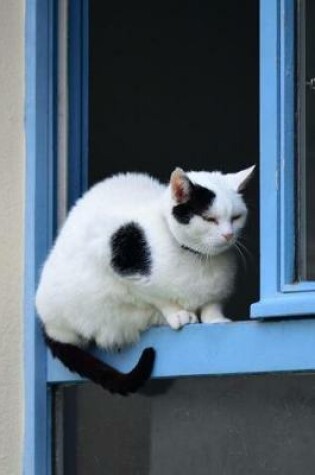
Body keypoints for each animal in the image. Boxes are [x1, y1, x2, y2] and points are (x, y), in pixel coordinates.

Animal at [35, 165, 256, 396]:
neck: (200, 259)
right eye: (209, 219)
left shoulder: (216, 293)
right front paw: (177, 313)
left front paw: (214, 319)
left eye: (236, 217)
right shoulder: (121, 263)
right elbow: (158, 298)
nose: (228, 235)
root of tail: (47, 325)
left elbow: (212, 305)